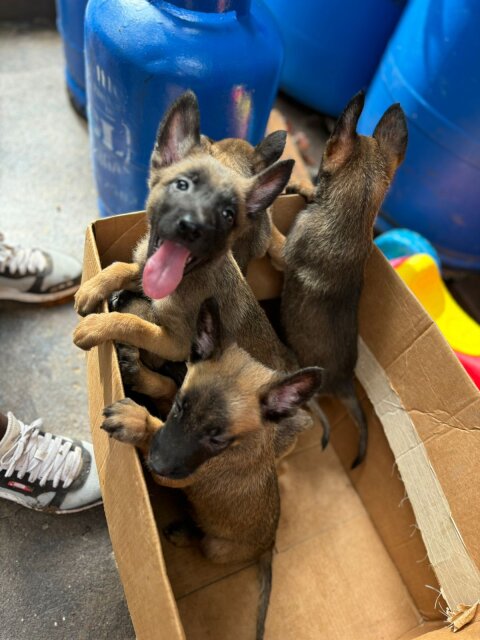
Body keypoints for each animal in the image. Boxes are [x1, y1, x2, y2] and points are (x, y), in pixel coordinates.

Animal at [72, 92, 296, 388]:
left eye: (227, 214)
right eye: (182, 186)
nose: (192, 227)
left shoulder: (175, 343)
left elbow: (135, 324)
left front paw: (97, 326)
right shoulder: (144, 273)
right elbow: (120, 267)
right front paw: (91, 287)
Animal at [101, 298, 322, 640]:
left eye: (217, 439)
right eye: (181, 407)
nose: (156, 463)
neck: (243, 443)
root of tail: (269, 544)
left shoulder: (175, 474)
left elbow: (153, 433)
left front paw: (136, 420)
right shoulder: (174, 400)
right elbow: (167, 385)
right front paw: (136, 370)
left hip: (215, 547)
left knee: (205, 542)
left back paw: (184, 533)